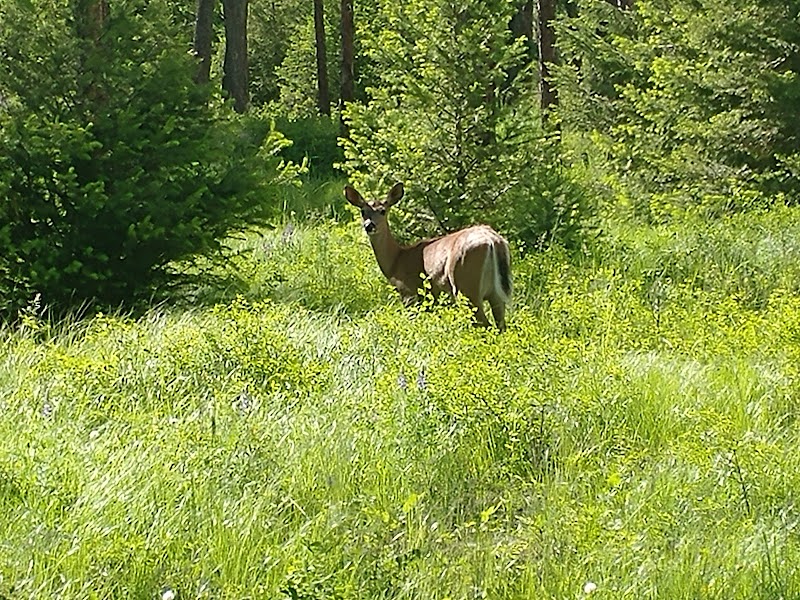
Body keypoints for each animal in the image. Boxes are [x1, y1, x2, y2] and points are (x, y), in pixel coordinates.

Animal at [345, 182, 512, 331]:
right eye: (363, 211)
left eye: (382, 211)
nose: (369, 225)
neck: (396, 260)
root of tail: (492, 241)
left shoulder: (409, 293)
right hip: (495, 294)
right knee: (501, 325)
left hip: (466, 285)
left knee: (484, 324)